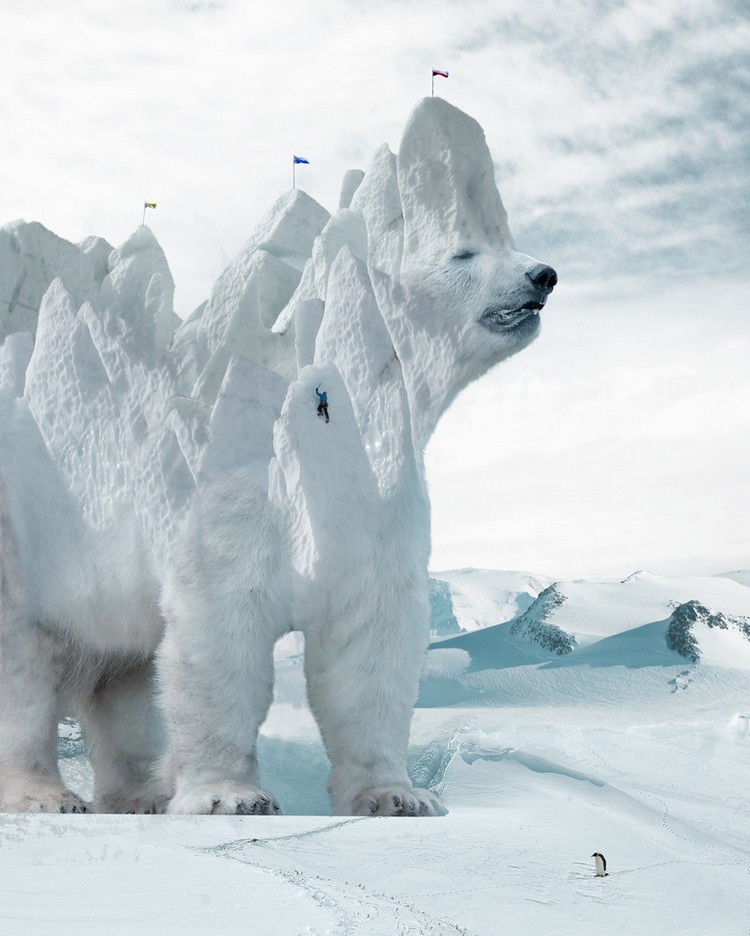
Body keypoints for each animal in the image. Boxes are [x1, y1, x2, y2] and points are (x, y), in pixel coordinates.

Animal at [0, 95, 552, 812]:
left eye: (504, 242)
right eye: (464, 251)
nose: (543, 274)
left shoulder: (372, 499)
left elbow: (369, 640)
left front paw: (397, 796)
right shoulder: (231, 502)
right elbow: (219, 633)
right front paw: (231, 797)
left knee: (120, 676)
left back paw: (142, 791)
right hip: (27, 541)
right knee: (24, 668)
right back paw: (46, 793)